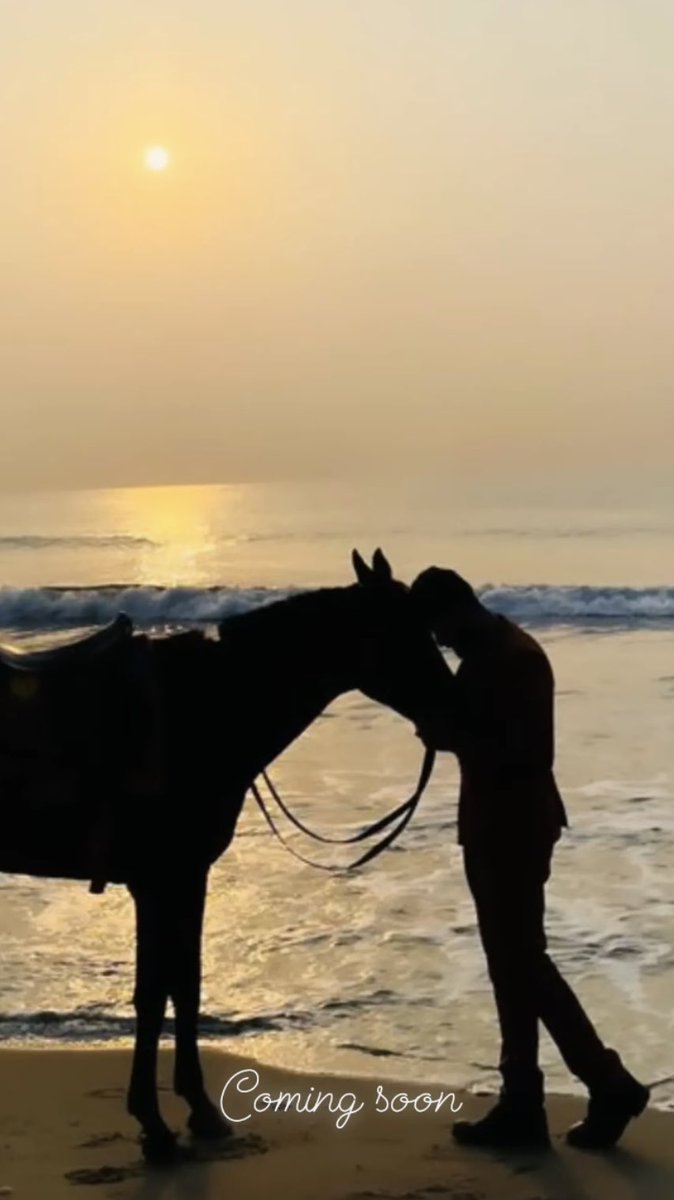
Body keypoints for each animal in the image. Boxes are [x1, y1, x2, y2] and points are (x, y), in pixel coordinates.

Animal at [0, 548, 454, 1162]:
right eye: (404, 632)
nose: (454, 709)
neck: (210, 707)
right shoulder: (163, 879)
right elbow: (156, 994)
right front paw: (155, 1125)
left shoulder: (184, 878)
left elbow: (184, 987)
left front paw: (199, 1110)